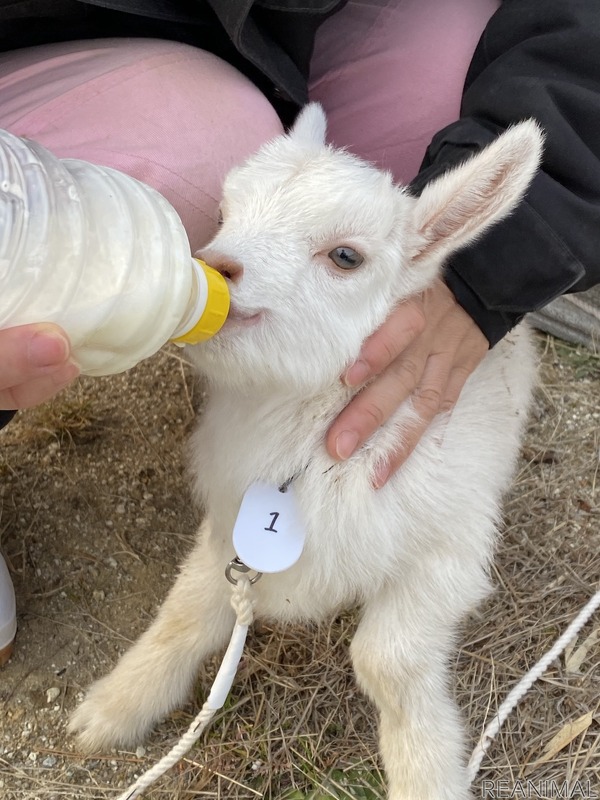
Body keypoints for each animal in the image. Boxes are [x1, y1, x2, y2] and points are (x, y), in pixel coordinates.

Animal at [70, 106, 544, 800]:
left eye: (346, 256)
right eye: (223, 210)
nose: (213, 265)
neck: (309, 450)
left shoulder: (451, 551)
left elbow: (386, 662)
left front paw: (426, 772)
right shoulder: (229, 527)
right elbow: (188, 608)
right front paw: (114, 708)